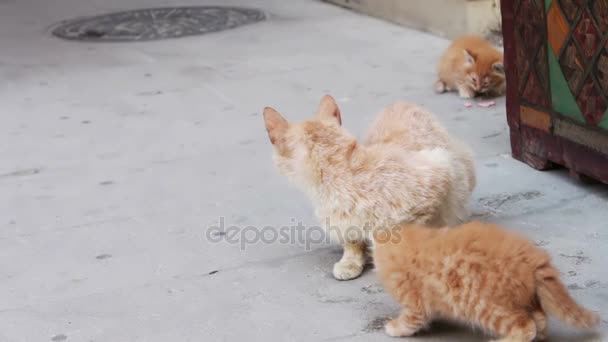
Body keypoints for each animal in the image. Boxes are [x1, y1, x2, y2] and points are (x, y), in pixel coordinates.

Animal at [262, 94, 476, 280]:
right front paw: (351, 261)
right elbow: (352, 240)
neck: (341, 171)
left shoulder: (439, 169)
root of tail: (401, 103)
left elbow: (412, 228)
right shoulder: (343, 223)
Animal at [372, 220, 600, 340]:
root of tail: (533, 257)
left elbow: (411, 320)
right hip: (521, 300)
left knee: (525, 327)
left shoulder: (414, 301)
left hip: (488, 306)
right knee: (540, 320)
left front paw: (394, 327)